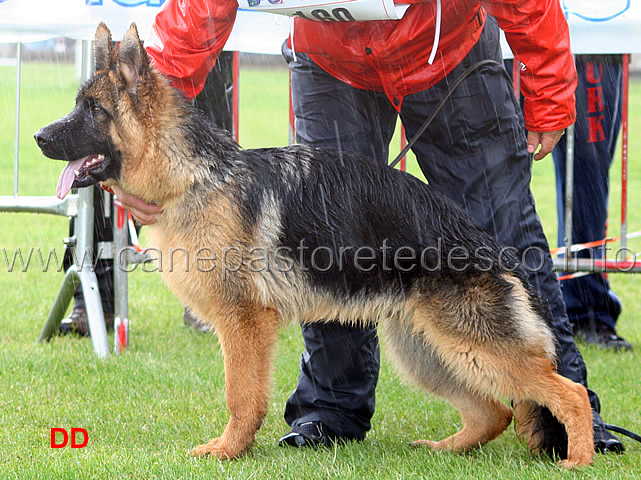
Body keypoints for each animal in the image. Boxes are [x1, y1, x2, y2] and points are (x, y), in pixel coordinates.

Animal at [35, 23, 592, 468]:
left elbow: (241, 396)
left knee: (570, 393)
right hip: (430, 350)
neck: (192, 178)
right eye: (78, 106)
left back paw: (580, 459)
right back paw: (446, 450)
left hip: (475, 347)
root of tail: (484, 241)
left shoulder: (244, 323)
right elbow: (246, 394)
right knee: (493, 411)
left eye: (93, 110)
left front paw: (228, 450)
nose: (39, 136)